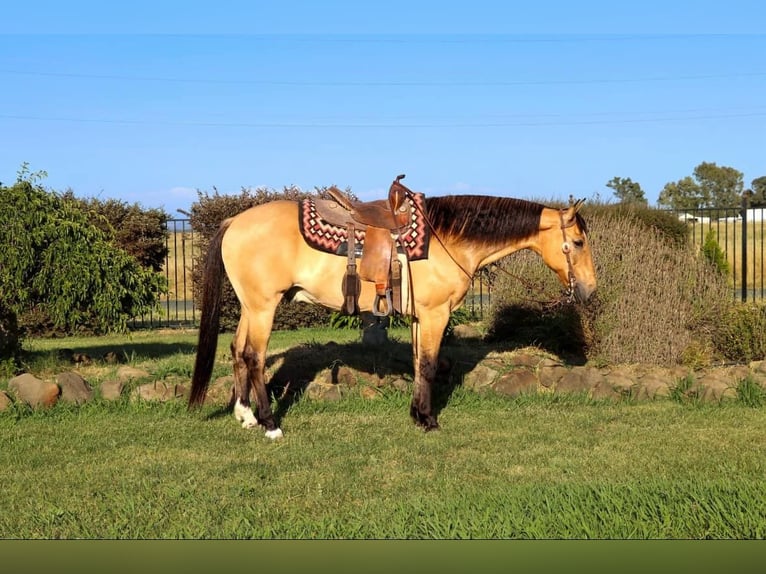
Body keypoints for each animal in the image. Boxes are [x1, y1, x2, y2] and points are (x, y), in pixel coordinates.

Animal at [188, 187, 597, 439]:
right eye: (577, 242)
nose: (589, 290)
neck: (447, 239)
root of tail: (234, 222)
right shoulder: (435, 314)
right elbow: (429, 365)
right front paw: (429, 421)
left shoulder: (421, 318)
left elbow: (418, 364)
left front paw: (417, 415)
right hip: (264, 307)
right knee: (255, 357)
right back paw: (270, 424)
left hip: (251, 306)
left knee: (237, 352)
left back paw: (245, 415)